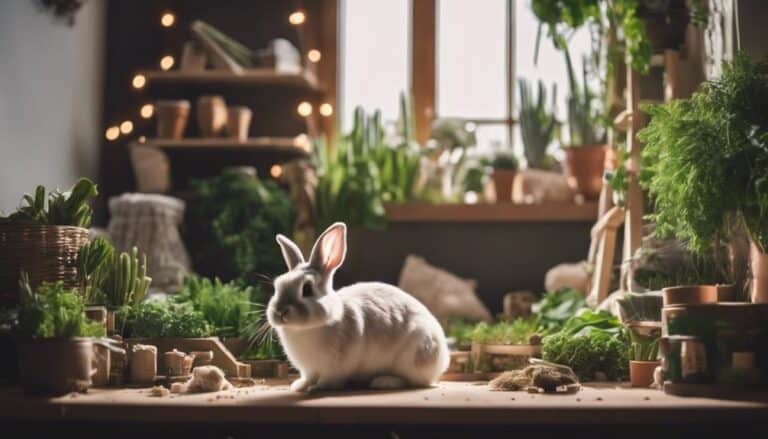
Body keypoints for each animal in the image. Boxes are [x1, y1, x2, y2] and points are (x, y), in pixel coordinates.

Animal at [268, 222, 450, 393]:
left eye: (306, 289)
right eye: (277, 286)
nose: (280, 312)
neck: (306, 329)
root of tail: (443, 359)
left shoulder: (334, 368)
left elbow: (328, 380)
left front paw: (318, 388)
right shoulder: (308, 369)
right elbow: (308, 377)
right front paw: (299, 386)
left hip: (415, 354)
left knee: (412, 380)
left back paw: (384, 382)